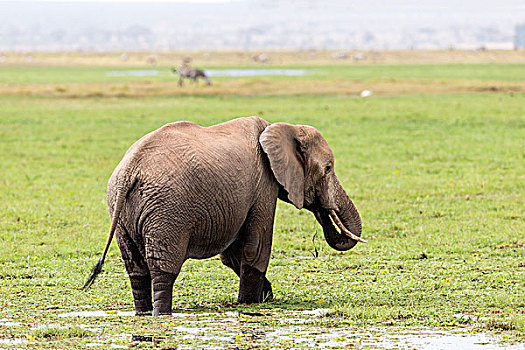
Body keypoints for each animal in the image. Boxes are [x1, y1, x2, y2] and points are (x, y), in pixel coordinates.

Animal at [85, 116, 364, 316]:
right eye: (328, 168)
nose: (324, 209)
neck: (280, 127)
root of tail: (129, 171)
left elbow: (232, 255)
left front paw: (264, 295)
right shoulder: (263, 185)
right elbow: (255, 248)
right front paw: (250, 303)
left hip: (122, 213)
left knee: (136, 269)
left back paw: (142, 313)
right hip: (167, 212)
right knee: (163, 269)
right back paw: (161, 313)